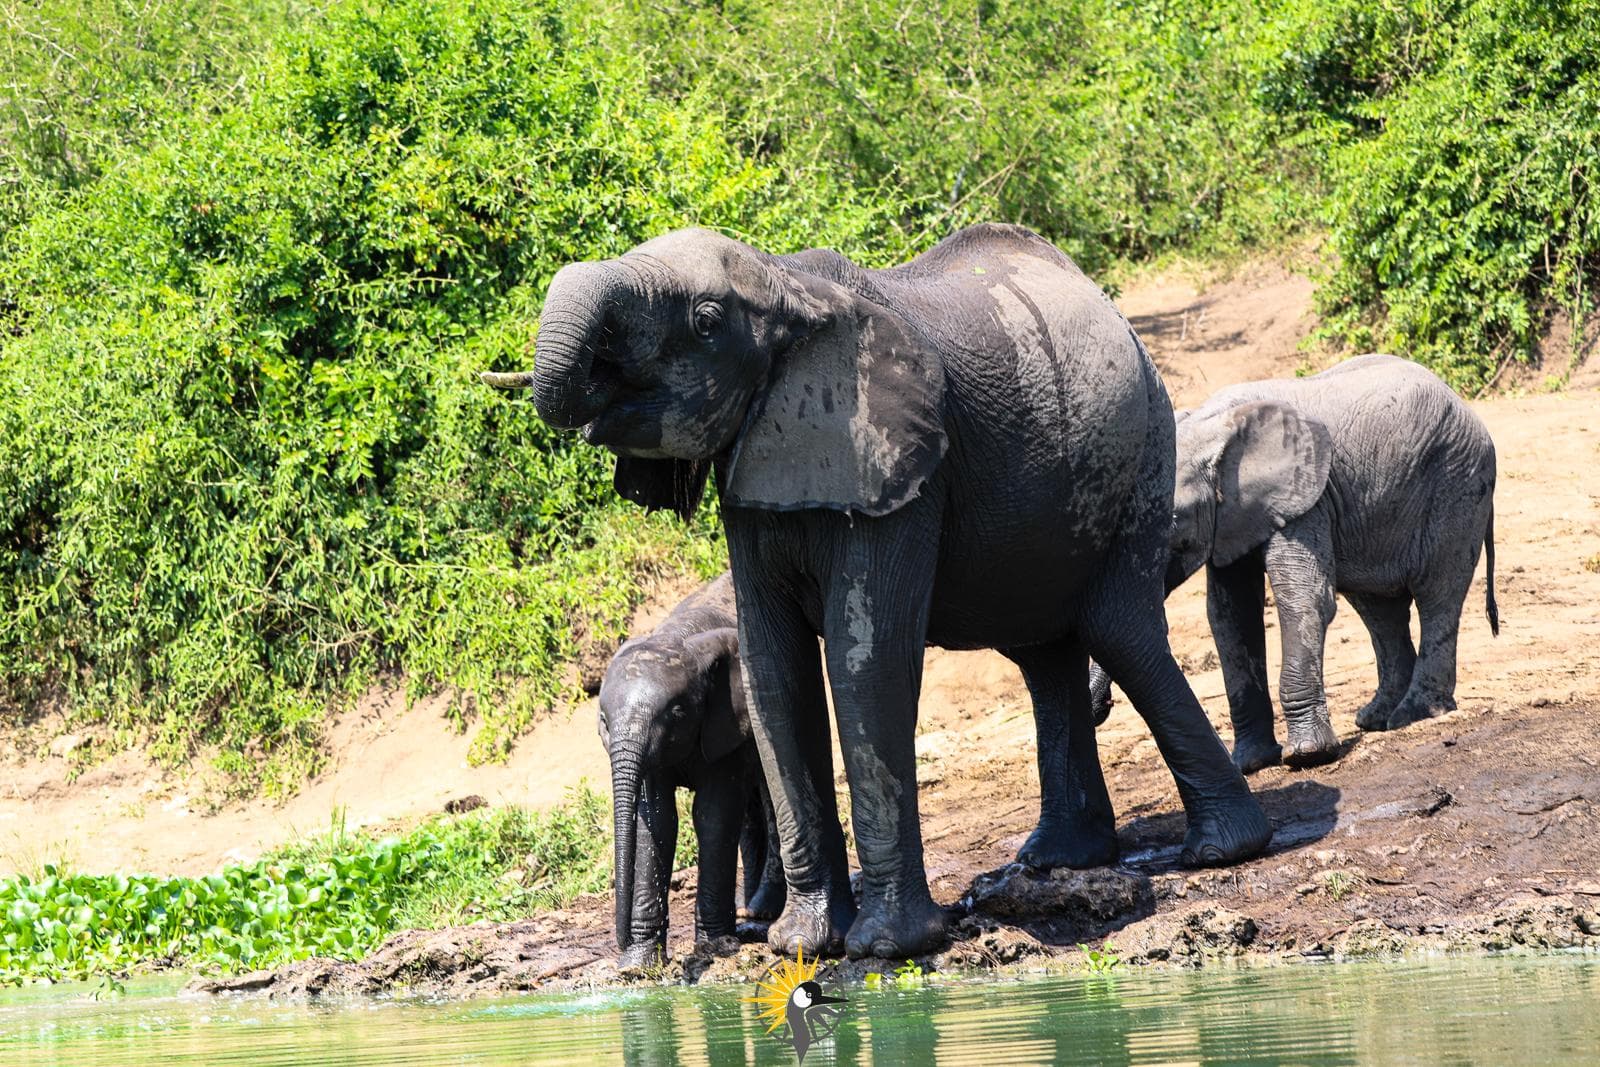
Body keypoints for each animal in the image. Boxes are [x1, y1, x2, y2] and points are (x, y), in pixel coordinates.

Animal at [598, 572, 786, 968]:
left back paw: (762, 913)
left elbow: (712, 815)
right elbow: (657, 821)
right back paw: (751, 911)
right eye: (604, 722)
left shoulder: (728, 717)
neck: (677, 639)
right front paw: (636, 965)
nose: (619, 941)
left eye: (677, 712)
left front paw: (715, 949)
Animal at [1089, 354, 1498, 773]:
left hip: (1458, 480)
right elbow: (1230, 616)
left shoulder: (1305, 497)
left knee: (1436, 593)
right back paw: (1376, 718)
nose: (1101, 710)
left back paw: (1413, 714)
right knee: (1378, 609)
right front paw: (1249, 763)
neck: (1213, 427)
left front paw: (1307, 756)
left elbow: (1303, 598)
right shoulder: (1231, 517)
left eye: (1170, 521)